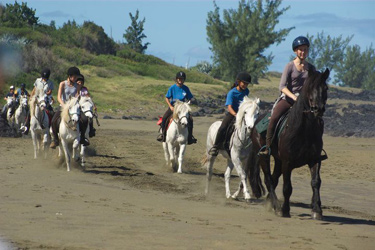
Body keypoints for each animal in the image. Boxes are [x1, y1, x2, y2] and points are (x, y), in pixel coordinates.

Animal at [250, 68, 328, 219]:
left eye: (326, 88)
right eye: (310, 88)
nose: (318, 109)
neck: (304, 130)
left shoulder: (315, 159)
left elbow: (316, 182)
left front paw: (317, 210)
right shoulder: (287, 162)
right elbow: (287, 187)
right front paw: (285, 210)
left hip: (278, 161)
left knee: (274, 179)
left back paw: (270, 203)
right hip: (264, 157)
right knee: (268, 179)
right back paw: (276, 205)